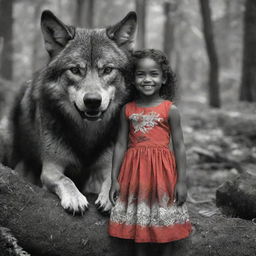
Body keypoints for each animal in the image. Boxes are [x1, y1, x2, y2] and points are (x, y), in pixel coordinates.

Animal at [7, 9, 136, 214]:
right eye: (75, 70)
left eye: (107, 70)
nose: (92, 101)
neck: (86, 135)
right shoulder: (51, 169)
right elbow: (65, 179)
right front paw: (75, 199)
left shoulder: (108, 165)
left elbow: (111, 180)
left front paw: (108, 198)